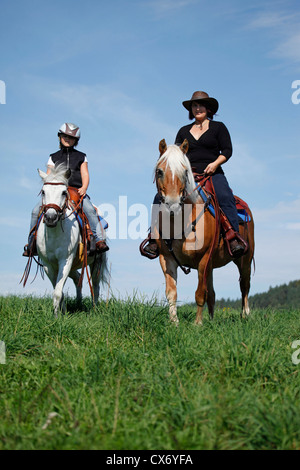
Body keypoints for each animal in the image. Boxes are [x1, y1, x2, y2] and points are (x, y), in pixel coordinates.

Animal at [36, 165, 108, 316]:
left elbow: (57, 292)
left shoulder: (66, 260)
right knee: (78, 278)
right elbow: (59, 290)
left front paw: (57, 316)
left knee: (95, 285)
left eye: (64, 192)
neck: (54, 234)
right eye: (43, 192)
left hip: (96, 262)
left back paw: (94, 308)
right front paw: (61, 312)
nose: (51, 217)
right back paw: (78, 303)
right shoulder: (47, 264)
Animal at [152, 138, 253, 324]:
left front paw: (198, 323)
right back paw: (212, 320)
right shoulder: (166, 258)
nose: (173, 205)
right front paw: (174, 322)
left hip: (245, 259)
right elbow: (172, 293)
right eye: (160, 171)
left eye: (185, 172)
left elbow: (200, 293)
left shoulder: (203, 258)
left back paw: (245, 315)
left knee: (244, 286)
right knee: (212, 293)